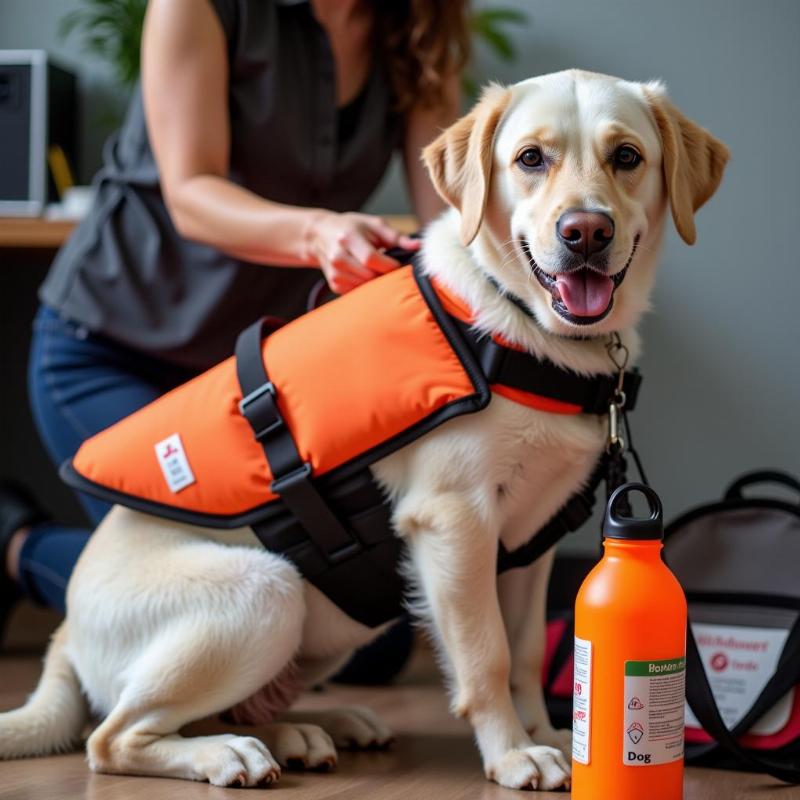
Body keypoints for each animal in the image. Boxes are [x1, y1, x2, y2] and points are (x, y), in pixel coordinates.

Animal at [0, 70, 724, 792]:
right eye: (529, 159)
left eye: (626, 157)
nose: (586, 232)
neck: (523, 330)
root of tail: (64, 637)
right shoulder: (455, 521)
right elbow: (486, 655)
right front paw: (513, 754)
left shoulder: (530, 540)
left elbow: (521, 652)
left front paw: (549, 735)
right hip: (267, 591)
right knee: (113, 737)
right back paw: (227, 754)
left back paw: (306, 730)